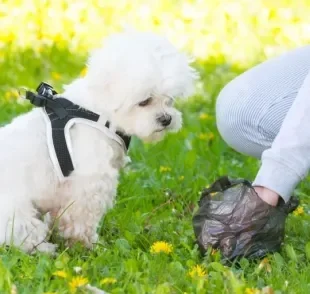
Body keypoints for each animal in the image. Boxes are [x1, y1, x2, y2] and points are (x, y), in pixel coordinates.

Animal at [0, 31, 199, 253]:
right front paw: (86, 245)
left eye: (170, 99)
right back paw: (45, 249)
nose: (166, 119)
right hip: (15, 213)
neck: (98, 112)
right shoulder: (89, 183)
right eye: (144, 101)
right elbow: (81, 220)